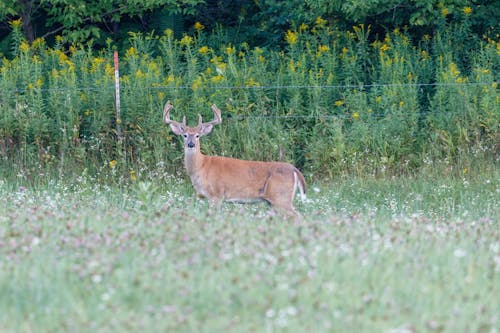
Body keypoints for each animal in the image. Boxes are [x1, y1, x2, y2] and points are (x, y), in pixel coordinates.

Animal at [164, 101, 304, 215]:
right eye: (185, 135)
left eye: (198, 135)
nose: (191, 144)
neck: (201, 166)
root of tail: (295, 171)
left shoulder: (217, 194)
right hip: (274, 202)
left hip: (281, 197)